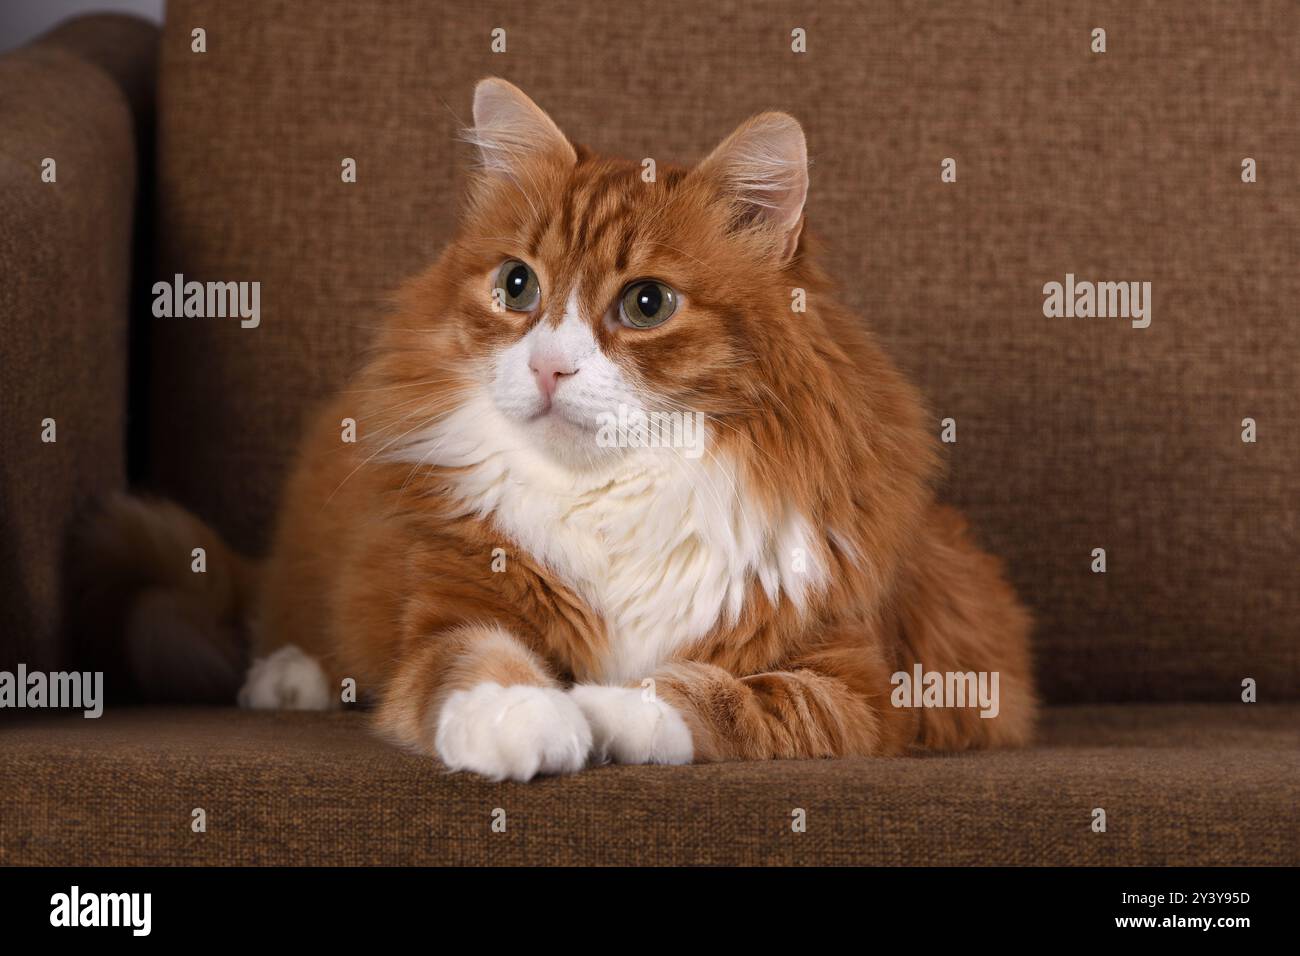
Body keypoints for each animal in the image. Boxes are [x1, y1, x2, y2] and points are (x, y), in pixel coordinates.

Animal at [83, 78, 1034, 780]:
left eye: (646, 304)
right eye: (517, 287)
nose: (548, 366)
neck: (613, 495)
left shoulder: (857, 687)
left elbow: (717, 695)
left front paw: (598, 707)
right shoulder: (455, 609)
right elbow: (479, 664)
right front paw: (526, 717)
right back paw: (288, 680)